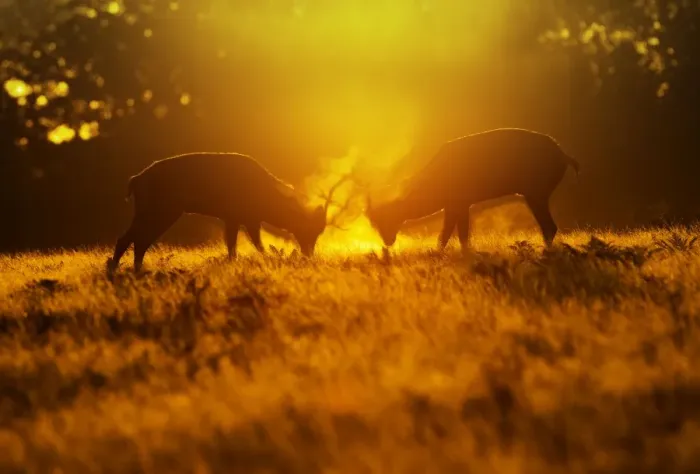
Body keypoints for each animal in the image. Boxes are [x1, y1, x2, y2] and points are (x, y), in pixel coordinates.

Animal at [106, 152, 338, 272]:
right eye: (309, 228)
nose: (309, 255)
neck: (265, 200)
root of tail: (135, 180)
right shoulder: (243, 217)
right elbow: (253, 244)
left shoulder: (235, 218)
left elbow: (234, 246)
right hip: (162, 209)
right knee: (138, 238)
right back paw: (126, 269)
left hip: (150, 211)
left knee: (133, 238)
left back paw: (124, 269)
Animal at [365, 128, 580, 253]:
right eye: (374, 222)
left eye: (387, 217)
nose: (387, 241)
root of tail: (565, 155)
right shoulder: (456, 206)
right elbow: (454, 235)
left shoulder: (459, 204)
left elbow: (453, 235)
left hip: (536, 194)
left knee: (549, 226)